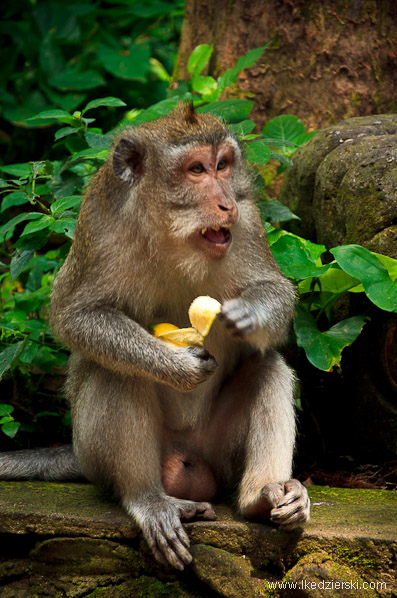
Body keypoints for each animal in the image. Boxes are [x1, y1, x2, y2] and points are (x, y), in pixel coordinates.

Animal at [0, 103, 310, 572]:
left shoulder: (249, 221)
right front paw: (176, 366)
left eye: (223, 165)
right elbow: (77, 315)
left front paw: (249, 314)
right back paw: (148, 499)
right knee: (116, 369)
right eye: (196, 169)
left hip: (217, 449)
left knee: (268, 367)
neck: (172, 235)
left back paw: (262, 497)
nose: (225, 204)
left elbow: (275, 289)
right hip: (96, 453)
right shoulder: (99, 224)